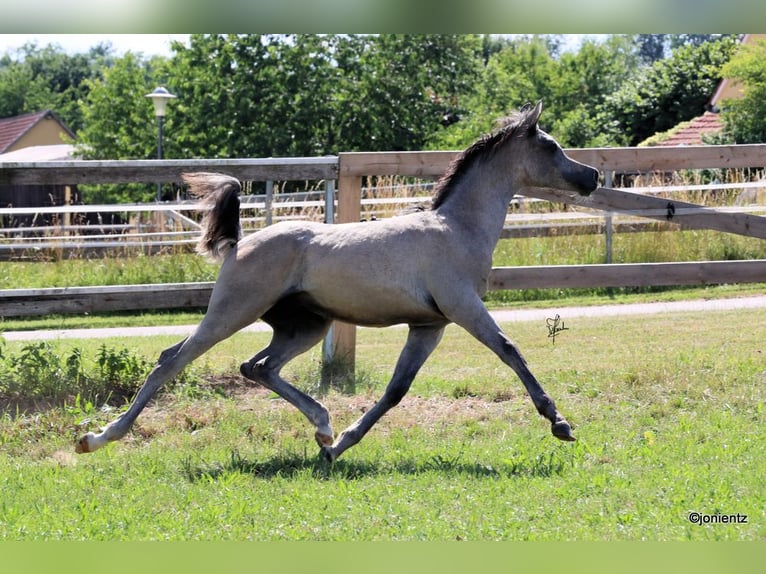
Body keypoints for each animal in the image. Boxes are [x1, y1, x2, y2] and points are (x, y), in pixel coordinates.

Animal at [79, 102, 608, 464]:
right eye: (551, 146)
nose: (594, 176)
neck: (457, 228)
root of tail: (239, 245)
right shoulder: (462, 307)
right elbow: (511, 350)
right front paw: (560, 424)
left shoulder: (429, 325)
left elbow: (397, 389)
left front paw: (341, 446)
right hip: (232, 311)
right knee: (173, 360)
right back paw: (98, 437)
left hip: (304, 326)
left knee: (258, 367)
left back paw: (324, 428)